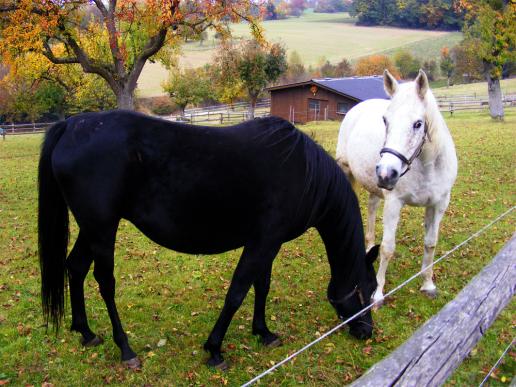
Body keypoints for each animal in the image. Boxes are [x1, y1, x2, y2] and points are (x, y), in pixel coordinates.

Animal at [39, 111, 378, 370]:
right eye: (367, 289)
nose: (367, 332)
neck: (304, 172)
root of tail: (72, 125)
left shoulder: (270, 243)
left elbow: (262, 286)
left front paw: (264, 333)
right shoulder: (262, 243)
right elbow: (237, 293)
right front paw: (215, 349)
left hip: (92, 228)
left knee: (76, 268)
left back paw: (86, 333)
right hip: (102, 229)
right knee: (105, 282)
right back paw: (126, 350)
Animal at [336, 70, 458, 306]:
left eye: (418, 124)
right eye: (385, 120)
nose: (386, 173)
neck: (426, 166)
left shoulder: (438, 204)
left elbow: (430, 243)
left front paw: (428, 284)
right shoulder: (394, 203)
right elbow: (388, 248)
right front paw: (378, 294)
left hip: (375, 187)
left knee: (372, 208)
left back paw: (368, 249)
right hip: (349, 173)